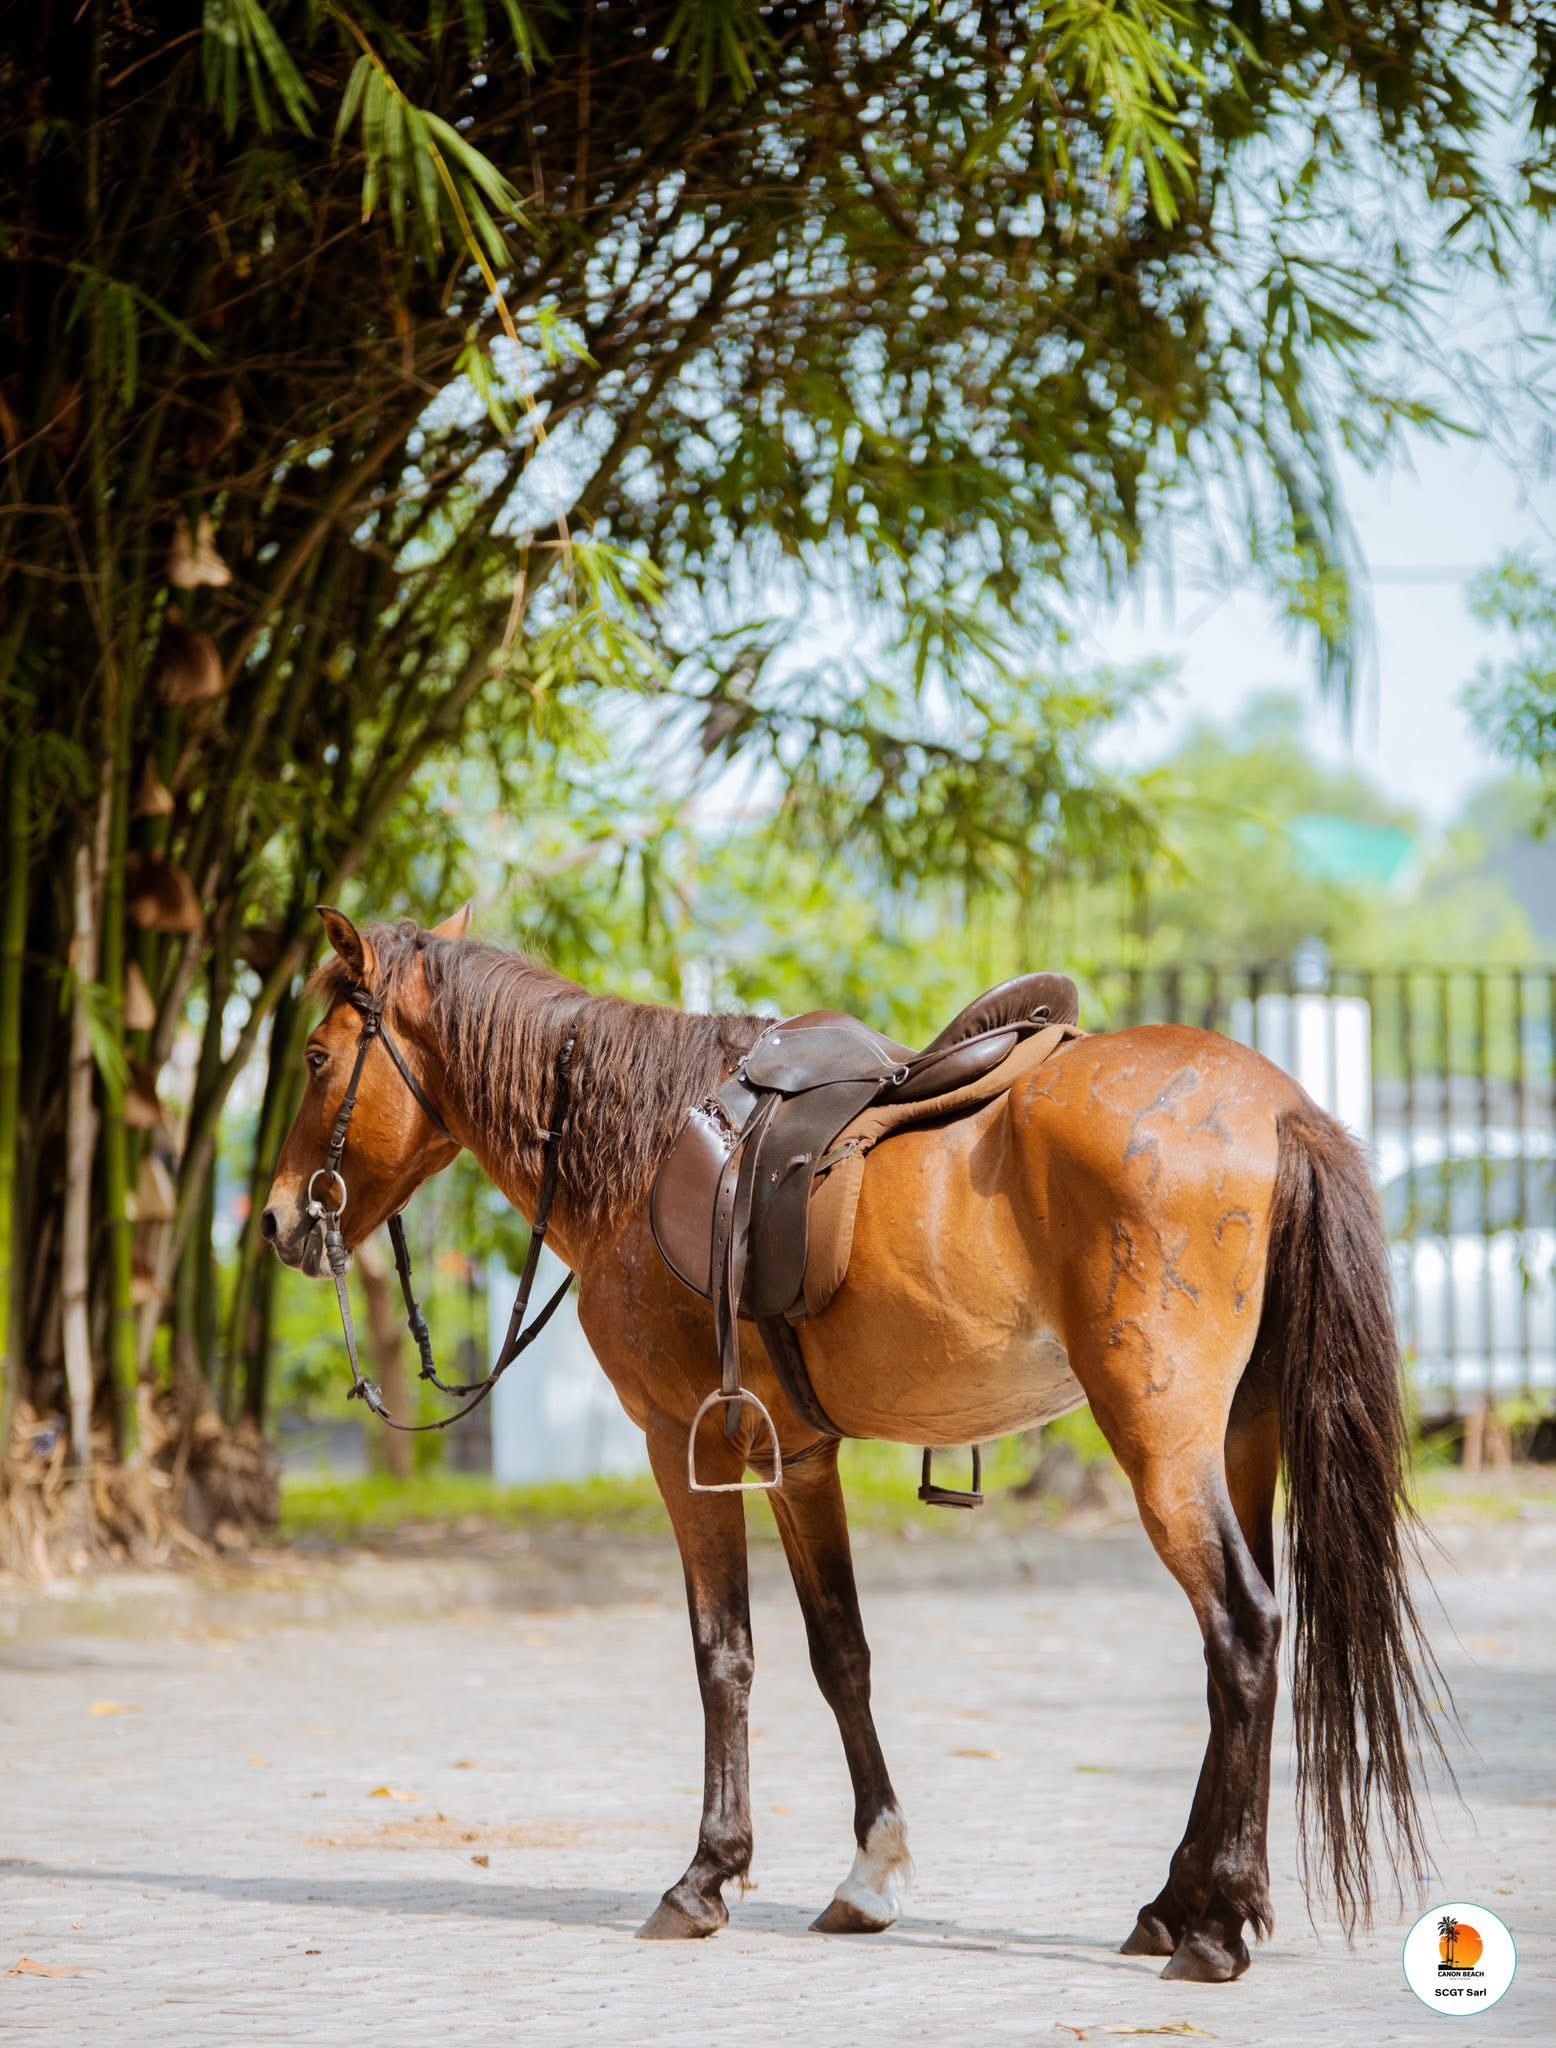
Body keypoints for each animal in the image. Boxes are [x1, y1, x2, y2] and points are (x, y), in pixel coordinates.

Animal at [262, 905, 1451, 1983]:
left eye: (316, 1057)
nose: (275, 1220)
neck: (643, 1150)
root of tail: (1279, 1107)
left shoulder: (684, 1448)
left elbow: (723, 1654)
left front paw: (705, 1875)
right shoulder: (798, 1457)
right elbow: (841, 1653)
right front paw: (870, 1874)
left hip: (1160, 1445)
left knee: (1242, 1631)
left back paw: (1215, 1925)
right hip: (1239, 1440)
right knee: (1240, 1642)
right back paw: (1178, 1903)